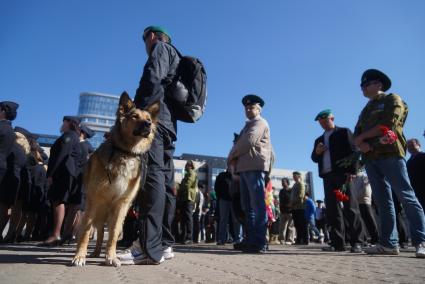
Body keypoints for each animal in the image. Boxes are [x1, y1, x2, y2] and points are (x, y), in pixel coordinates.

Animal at [72, 91, 158, 266]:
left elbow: (112, 235)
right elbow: (85, 232)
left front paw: (111, 257)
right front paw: (80, 256)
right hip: (99, 210)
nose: (148, 124)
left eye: (149, 118)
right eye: (135, 116)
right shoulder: (94, 200)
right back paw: (95, 252)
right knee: (97, 232)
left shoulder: (121, 205)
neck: (126, 152)